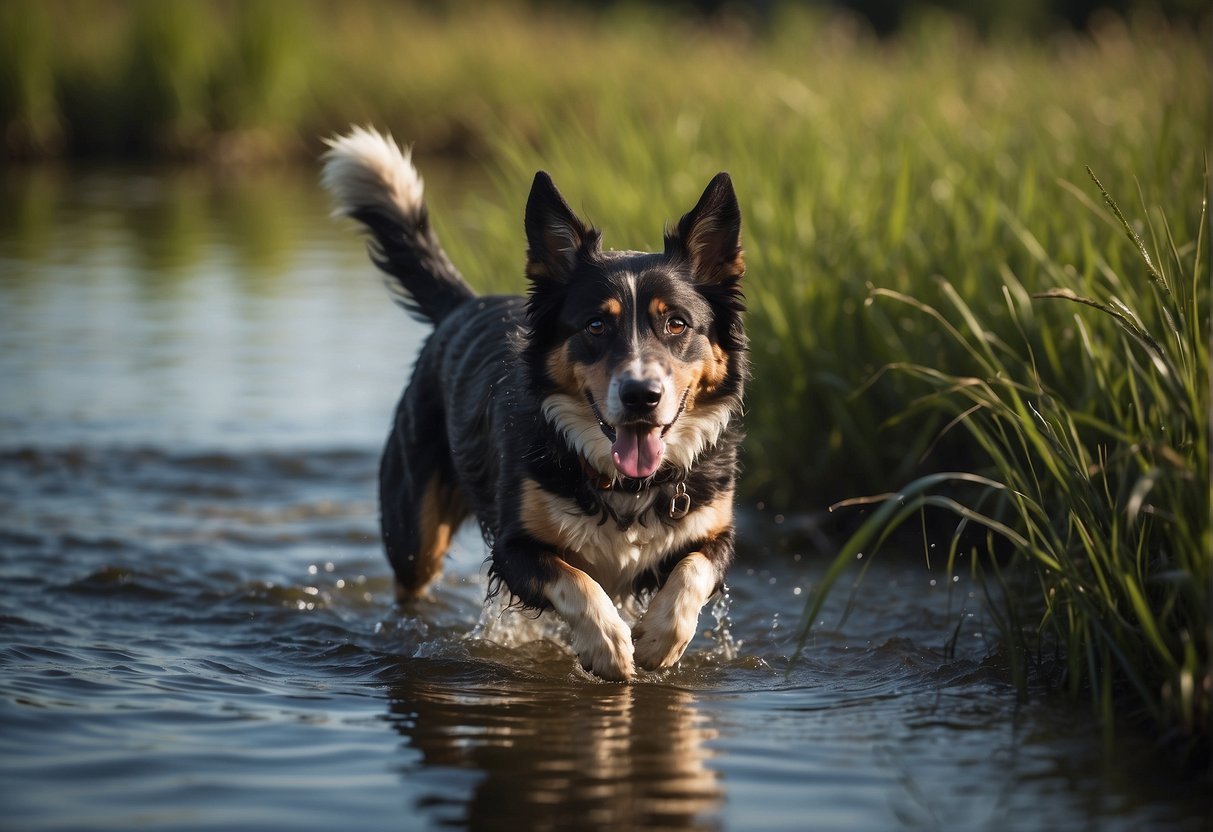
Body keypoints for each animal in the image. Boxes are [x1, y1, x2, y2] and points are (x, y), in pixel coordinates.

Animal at [320, 127, 747, 679]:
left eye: (676, 323)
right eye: (595, 325)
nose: (641, 396)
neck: (625, 486)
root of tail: (463, 304)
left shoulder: (717, 533)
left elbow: (693, 570)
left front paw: (659, 639)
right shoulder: (514, 547)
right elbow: (575, 582)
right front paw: (609, 645)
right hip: (413, 532)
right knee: (411, 584)